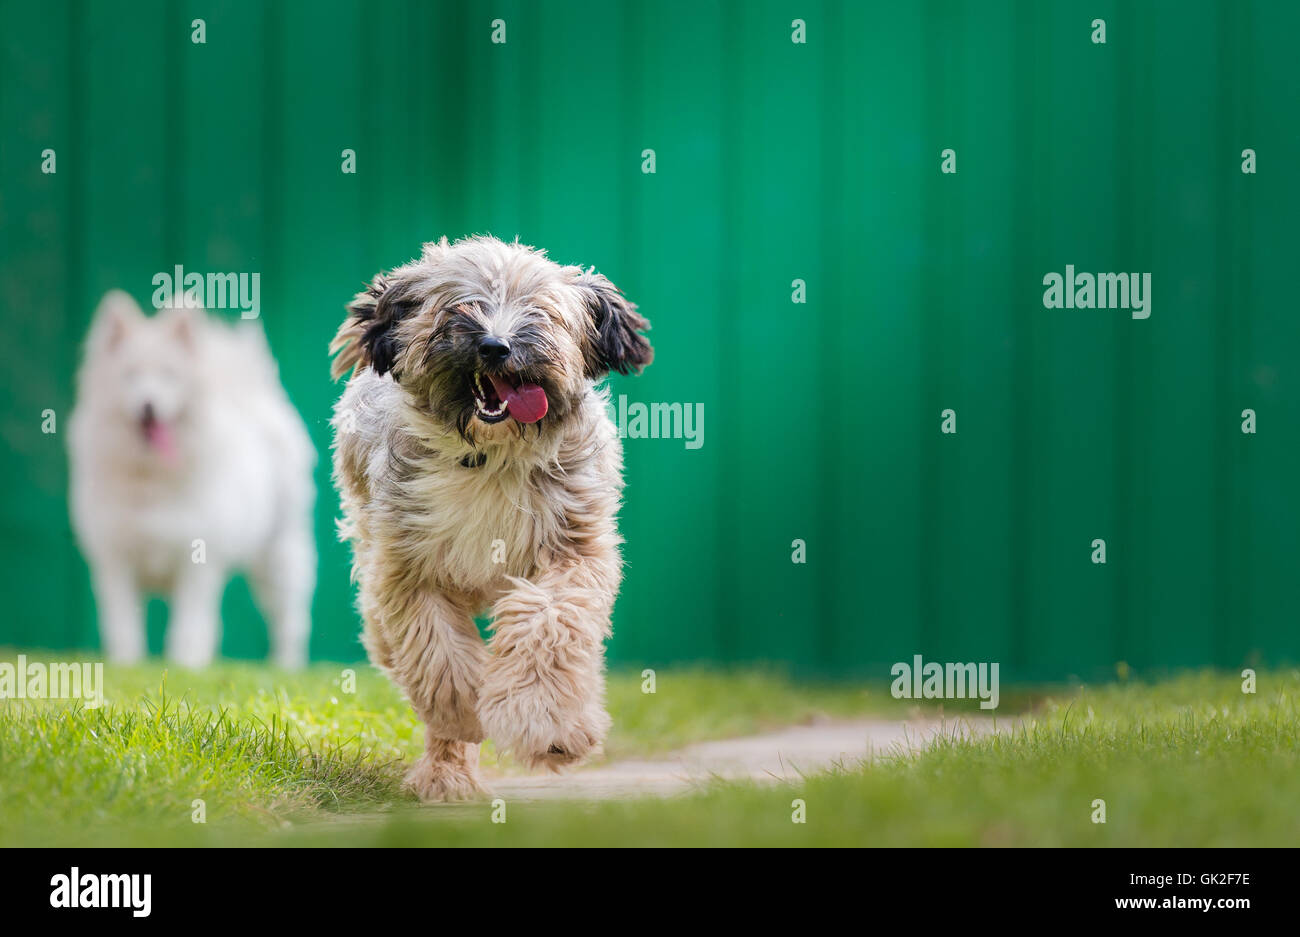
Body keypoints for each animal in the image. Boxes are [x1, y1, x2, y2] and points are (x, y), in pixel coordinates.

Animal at [69, 291, 317, 665]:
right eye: (130, 375)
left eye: (169, 374)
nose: (148, 405)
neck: (152, 477)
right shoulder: (115, 562)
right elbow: (124, 627)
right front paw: (126, 667)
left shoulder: (198, 564)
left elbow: (188, 627)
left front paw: (185, 667)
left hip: (278, 558)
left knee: (289, 621)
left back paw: (285, 666)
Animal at [325, 233, 650, 795]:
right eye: (461, 304)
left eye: (541, 310)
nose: (495, 346)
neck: (491, 456)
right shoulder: (408, 569)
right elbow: (439, 657)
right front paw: (462, 715)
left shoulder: (573, 552)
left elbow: (549, 623)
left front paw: (546, 724)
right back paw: (445, 775)